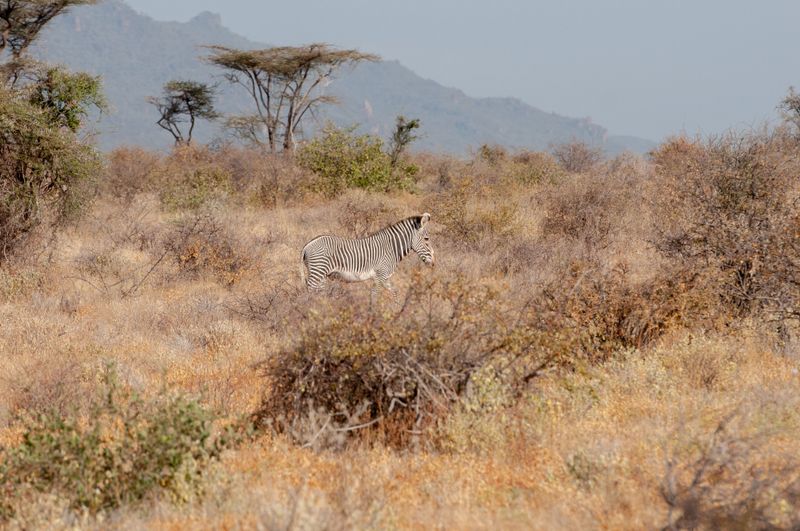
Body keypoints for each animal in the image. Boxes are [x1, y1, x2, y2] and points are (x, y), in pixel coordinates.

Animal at [302, 213, 438, 300]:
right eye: (426, 239)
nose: (433, 263)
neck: (391, 248)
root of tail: (308, 244)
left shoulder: (385, 277)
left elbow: (395, 292)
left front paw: (397, 312)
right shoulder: (379, 275)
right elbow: (374, 294)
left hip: (322, 275)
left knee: (317, 292)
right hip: (318, 272)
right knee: (309, 291)